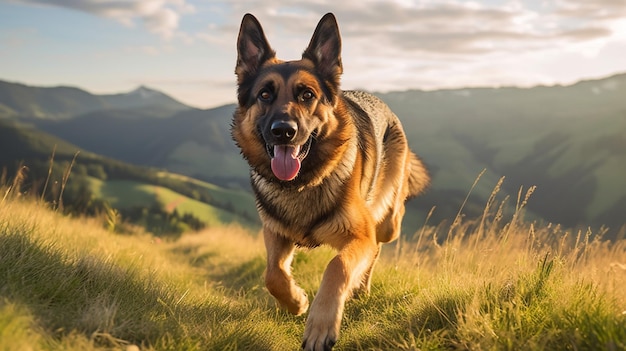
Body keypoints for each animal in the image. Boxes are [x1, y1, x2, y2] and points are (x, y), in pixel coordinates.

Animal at [232, 12, 426, 350]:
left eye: (307, 95)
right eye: (264, 95)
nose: (283, 131)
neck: (303, 182)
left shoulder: (359, 237)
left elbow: (337, 267)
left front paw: (321, 326)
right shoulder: (275, 231)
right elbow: (272, 273)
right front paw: (296, 301)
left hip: (386, 223)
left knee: (383, 233)